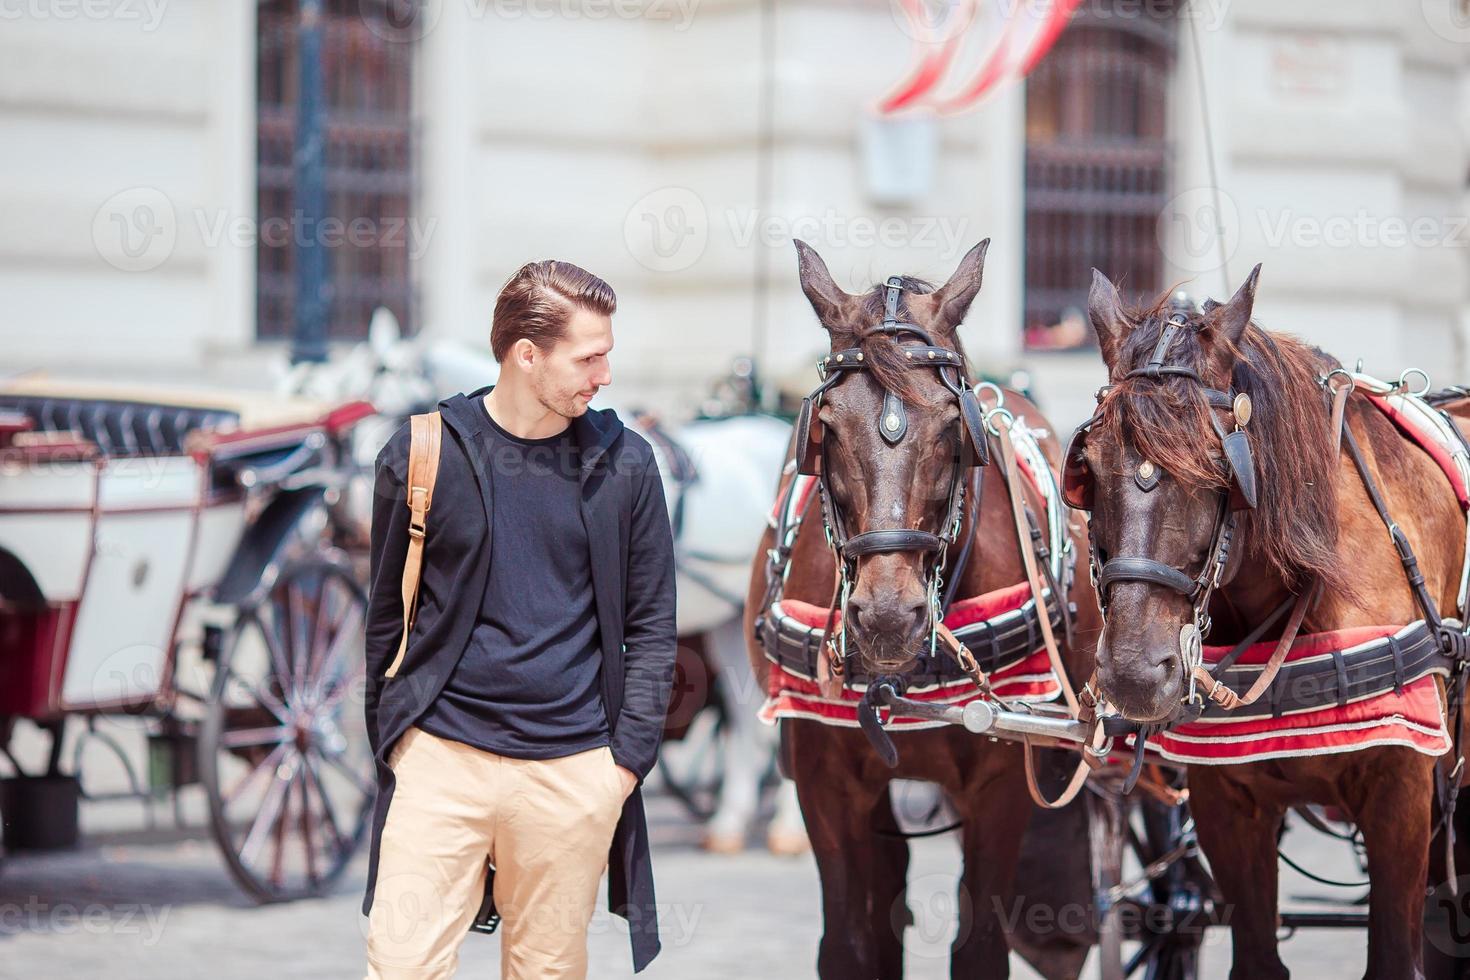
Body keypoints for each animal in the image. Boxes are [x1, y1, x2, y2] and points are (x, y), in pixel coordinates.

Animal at [746, 239, 1105, 980]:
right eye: (826, 426)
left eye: (949, 426)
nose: (888, 618)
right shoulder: (824, 779)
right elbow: (849, 945)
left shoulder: (1000, 782)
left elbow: (980, 947)